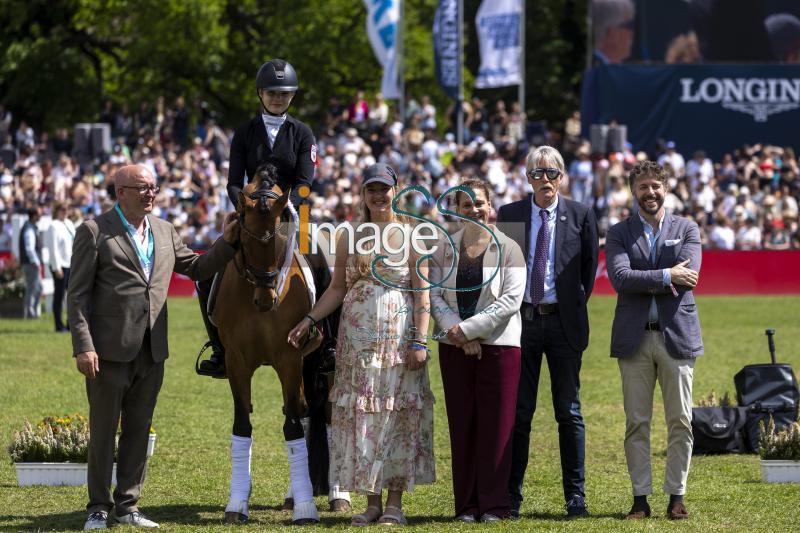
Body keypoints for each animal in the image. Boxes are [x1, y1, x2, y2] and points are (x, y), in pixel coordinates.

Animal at [216, 165, 324, 524]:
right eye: (245, 240)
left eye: (278, 238)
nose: (266, 301)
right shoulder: (236, 362)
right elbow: (242, 424)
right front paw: (237, 502)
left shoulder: (289, 359)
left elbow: (292, 427)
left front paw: (306, 507)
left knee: (310, 413)